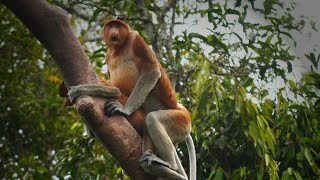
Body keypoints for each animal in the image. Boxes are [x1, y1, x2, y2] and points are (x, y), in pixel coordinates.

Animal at [68, 19, 198, 179]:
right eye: (110, 26)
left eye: (118, 25)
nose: (114, 32)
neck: (118, 50)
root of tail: (181, 109)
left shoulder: (135, 39)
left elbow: (151, 71)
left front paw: (123, 109)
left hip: (181, 121)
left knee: (153, 119)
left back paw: (168, 164)